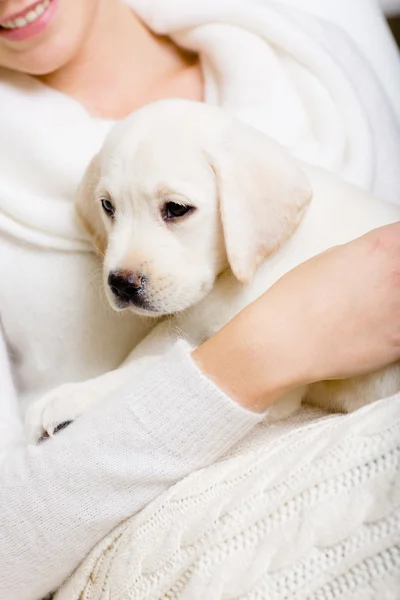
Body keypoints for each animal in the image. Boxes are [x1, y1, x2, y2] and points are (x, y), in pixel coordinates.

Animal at [25, 101, 400, 442]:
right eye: (107, 206)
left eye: (177, 208)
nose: (121, 284)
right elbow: (152, 351)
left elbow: (150, 366)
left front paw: (71, 398)